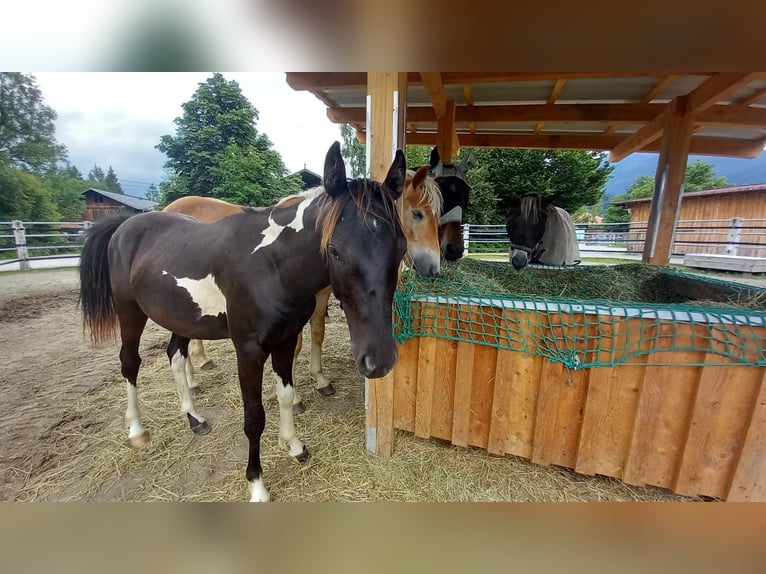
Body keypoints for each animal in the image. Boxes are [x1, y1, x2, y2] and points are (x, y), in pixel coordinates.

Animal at [81, 142, 412, 502]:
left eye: (400, 248)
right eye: (335, 250)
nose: (379, 360)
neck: (272, 265)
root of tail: (125, 226)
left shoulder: (285, 339)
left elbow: (285, 396)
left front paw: (294, 446)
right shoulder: (249, 352)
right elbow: (254, 418)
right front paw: (257, 485)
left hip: (181, 319)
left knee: (175, 358)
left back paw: (194, 418)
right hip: (130, 312)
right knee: (130, 362)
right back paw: (137, 430)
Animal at [166, 166, 444, 408]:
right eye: (417, 214)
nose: (434, 268)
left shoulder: (321, 294)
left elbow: (318, 331)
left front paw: (320, 380)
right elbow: (296, 344)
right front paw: (296, 398)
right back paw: (192, 381)